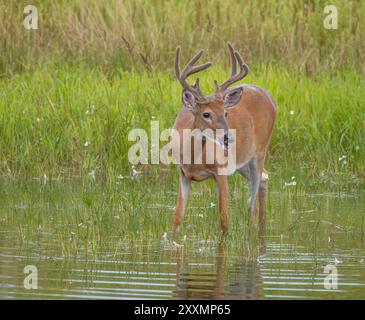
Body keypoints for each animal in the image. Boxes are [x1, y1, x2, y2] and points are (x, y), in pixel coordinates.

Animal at [171, 43, 276, 238]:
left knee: (251, 204)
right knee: (264, 179)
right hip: (242, 162)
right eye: (206, 114)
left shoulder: (221, 170)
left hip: (260, 150)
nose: (229, 137)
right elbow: (177, 217)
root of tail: (269, 96)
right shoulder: (183, 172)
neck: (194, 159)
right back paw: (261, 228)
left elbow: (224, 219)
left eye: (226, 113)